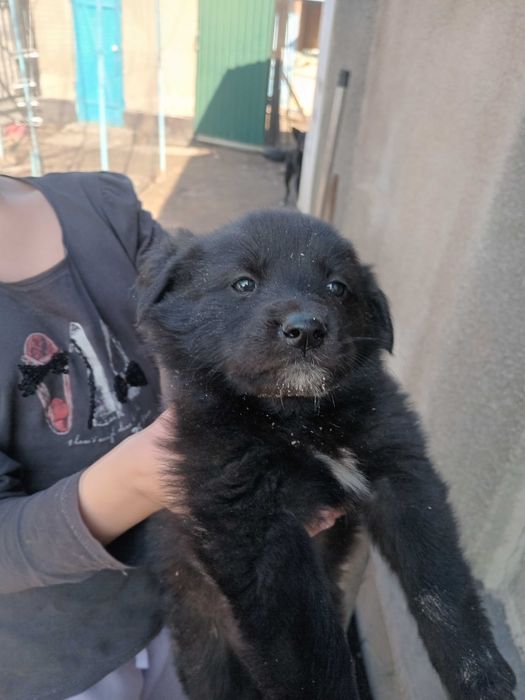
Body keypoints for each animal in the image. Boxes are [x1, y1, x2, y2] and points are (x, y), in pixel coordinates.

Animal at [137, 210, 516, 700]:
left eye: (337, 287)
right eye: (244, 284)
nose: (306, 330)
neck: (302, 422)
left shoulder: (401, 472)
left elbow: (441, 581)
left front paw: (479, 674)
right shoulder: (254, 521)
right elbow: (312, 649)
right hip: (202, 636)